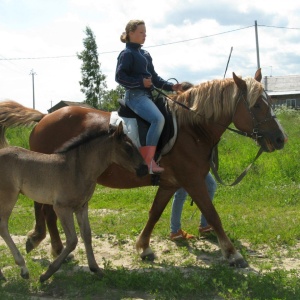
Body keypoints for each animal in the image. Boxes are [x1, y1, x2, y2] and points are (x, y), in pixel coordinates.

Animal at [0, 69, 286, 268]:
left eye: (271, 103)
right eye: (257, 105)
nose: (280, 139)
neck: (191, 128)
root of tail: (44, 117)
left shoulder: (171, 183)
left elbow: (155, 213)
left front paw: (144, 247)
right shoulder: (193, 181)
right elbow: (213, 214)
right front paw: (233, 254)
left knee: (46, 211)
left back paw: (49, 245)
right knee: (47, 212)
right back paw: (54, 247)